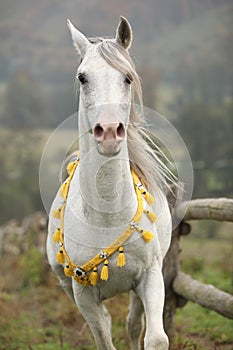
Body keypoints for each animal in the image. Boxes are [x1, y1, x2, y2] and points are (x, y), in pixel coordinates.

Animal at [46, 16, 172, 350]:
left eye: (127, 78)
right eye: (82, 77)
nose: (110, 132)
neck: (105, 216)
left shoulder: (151, 277)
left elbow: (155, 338)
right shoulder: (83, 293)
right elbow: (103, 336)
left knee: (132, 324)